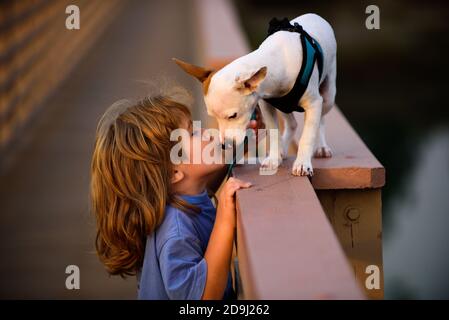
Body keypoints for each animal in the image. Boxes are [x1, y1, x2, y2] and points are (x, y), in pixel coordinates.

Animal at [173, 13, 334, 175]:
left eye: (233, 116)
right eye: (213, 117)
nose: (225, 145)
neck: (278, 61)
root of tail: (314, 15)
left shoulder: (313, 103)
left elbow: (307, 136)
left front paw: (302, 164)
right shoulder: (267, 105)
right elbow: (273, 132)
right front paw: (274, 159)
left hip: (328, 98)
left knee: (321, 119)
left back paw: (322, 147)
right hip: (285, 105)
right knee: (292, 124)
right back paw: (283, 149)